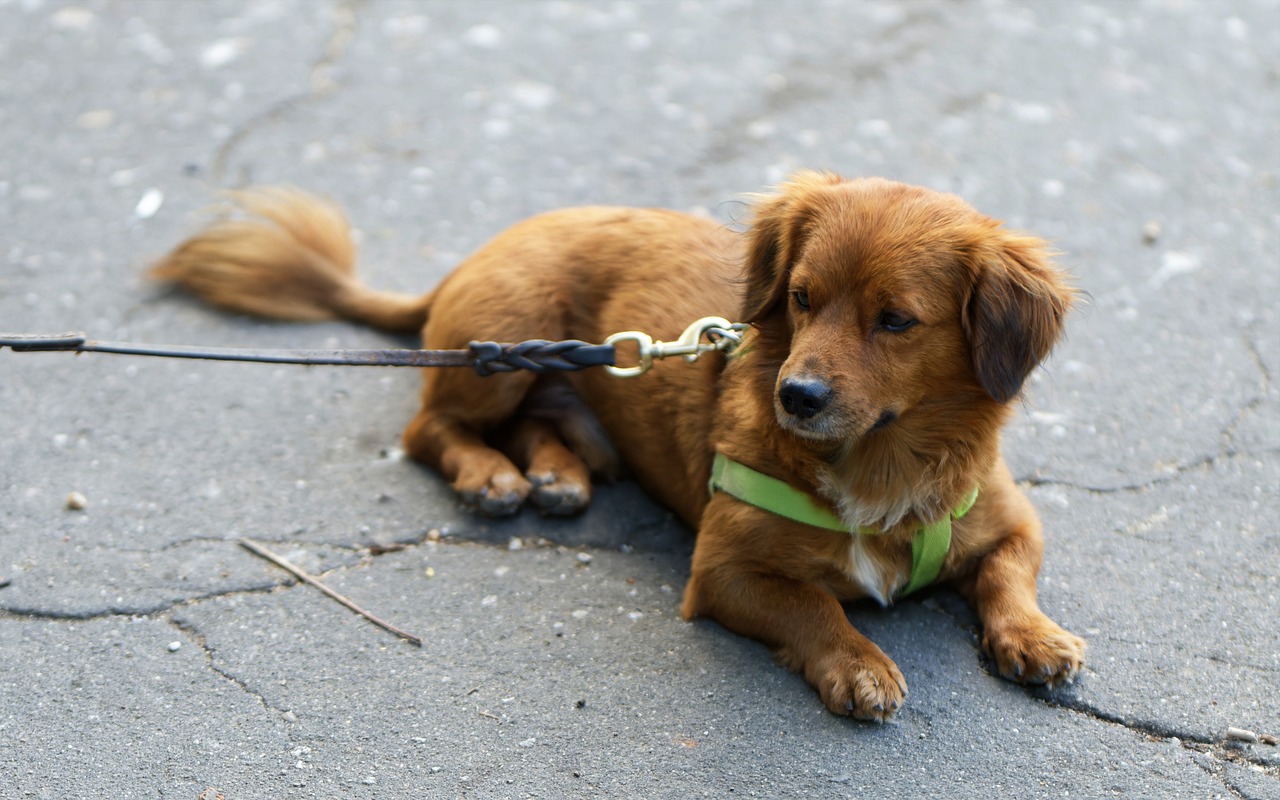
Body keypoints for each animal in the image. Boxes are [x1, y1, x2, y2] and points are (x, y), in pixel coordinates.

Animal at [152, 171, 1090, 721]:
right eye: (801, 296)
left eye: (895, 320)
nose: (795, 397)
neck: (880, 460)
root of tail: (483, 249)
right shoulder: (724, 572)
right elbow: (814, 607)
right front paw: (857, 663)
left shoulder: (1012, 521)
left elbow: (1006, 575)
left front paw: (1035, 638)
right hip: (508, 343)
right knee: (429, 428)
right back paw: (490, 476)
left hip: (558, 380)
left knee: (541, 425)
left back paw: (554, 476)